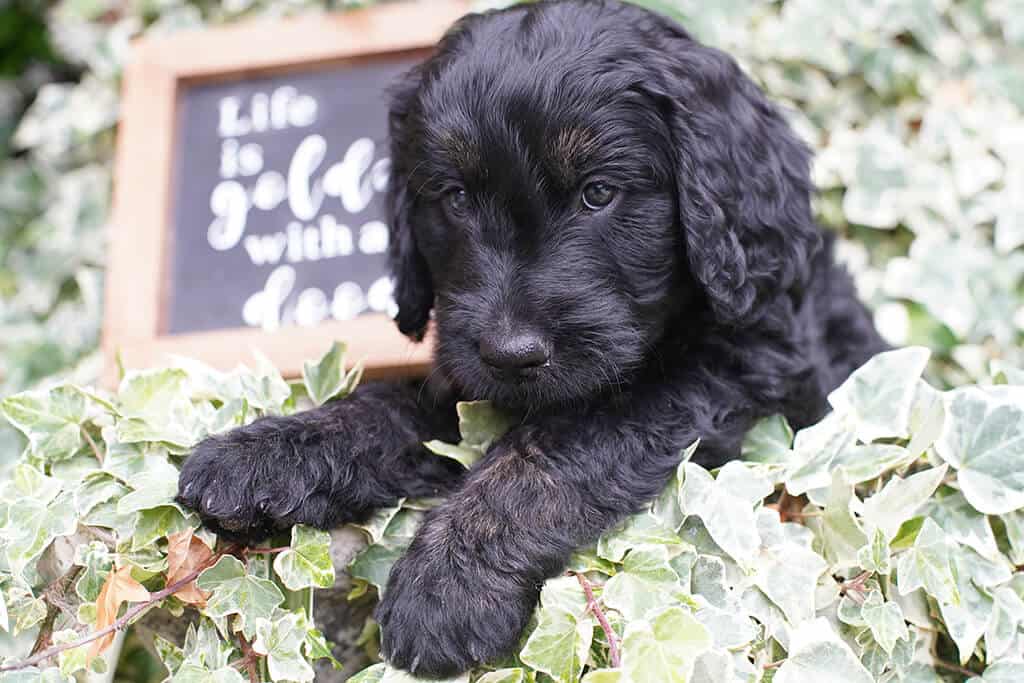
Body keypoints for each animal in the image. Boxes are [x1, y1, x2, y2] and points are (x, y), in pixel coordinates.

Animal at [178, 0, 888, 671]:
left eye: (598, 192)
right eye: (456, 197)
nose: (511, 354)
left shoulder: (737, 365)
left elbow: (555, 448)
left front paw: (448, 583)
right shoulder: (466, 371)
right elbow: (392, 403)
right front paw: (269, 451)